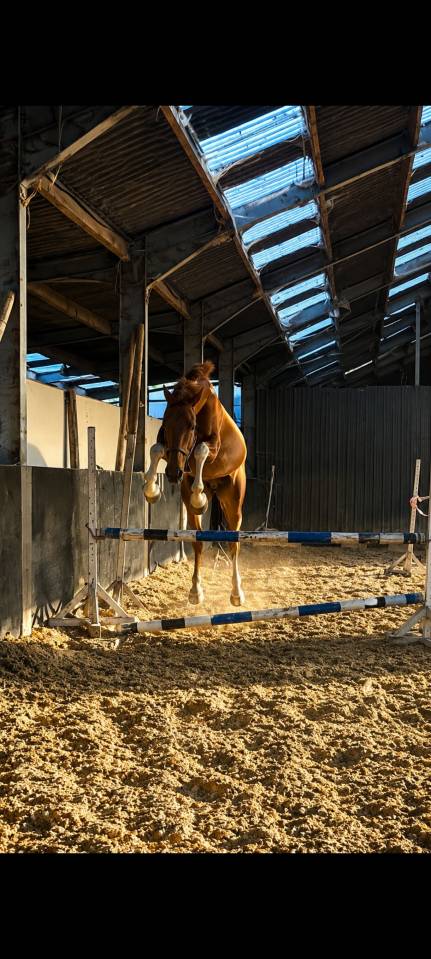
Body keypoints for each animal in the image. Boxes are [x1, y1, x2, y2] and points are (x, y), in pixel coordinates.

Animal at [143, 361, 247, 607]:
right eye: (165, 423)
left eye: (192, 426)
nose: (173, 473)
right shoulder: (168, 449)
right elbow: (156, 448)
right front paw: (151, 490)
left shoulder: (212, 446)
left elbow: (200, 449)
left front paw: (198, 496)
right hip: (192, 501)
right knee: (198, 541)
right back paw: (195, 591)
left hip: (233, 501)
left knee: (234, 543)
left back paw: (236, 593)